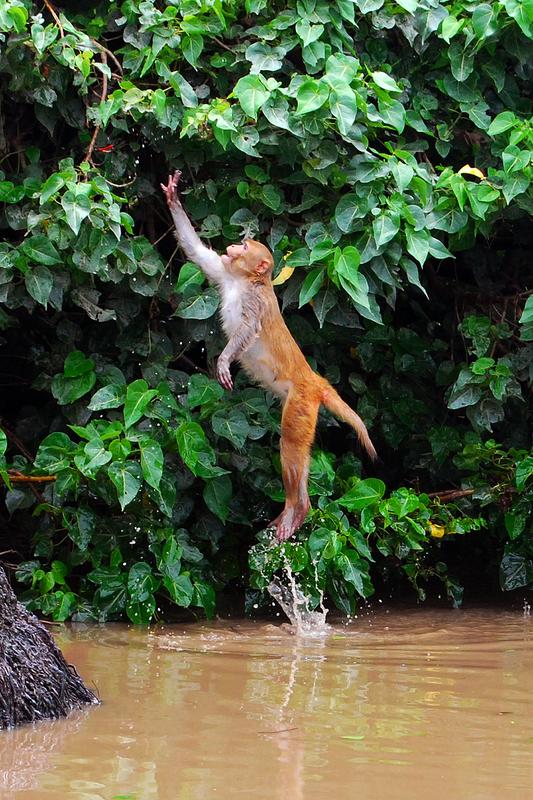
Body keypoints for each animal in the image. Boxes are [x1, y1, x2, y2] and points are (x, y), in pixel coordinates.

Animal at [160, 171, 376, 540]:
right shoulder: (225, 273)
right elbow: (198, 253)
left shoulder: (255, 301)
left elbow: (248, 330)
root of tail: (314, 380)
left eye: (246, 248)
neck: (247, 281)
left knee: (290, 444)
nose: (233, 247)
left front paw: (223, 361)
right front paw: (173, 197)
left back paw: (296, 508)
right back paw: (298, 509)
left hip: (301, 404)